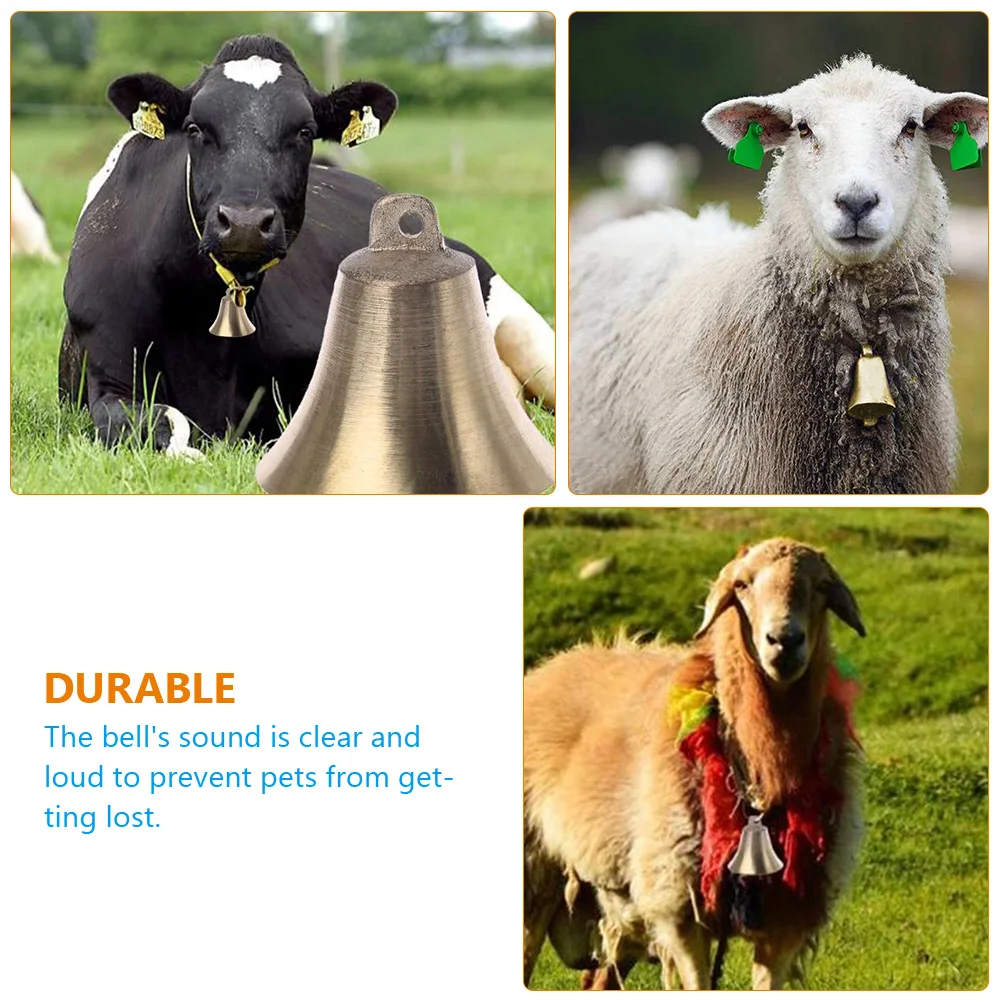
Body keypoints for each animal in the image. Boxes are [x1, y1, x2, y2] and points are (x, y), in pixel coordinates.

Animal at [524, 539, 866, 989]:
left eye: (822, 586)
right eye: (741, 585)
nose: (784, 640)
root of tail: (550, 665)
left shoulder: (787, 916)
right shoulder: (679, 907)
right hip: (534, 877)